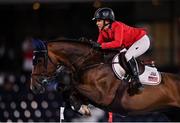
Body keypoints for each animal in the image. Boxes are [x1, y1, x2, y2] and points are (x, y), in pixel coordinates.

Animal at [30, 37, 180, 116]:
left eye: (38, 61)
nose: (33, 87)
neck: (91, 63)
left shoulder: (103, 96)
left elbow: (70, 85)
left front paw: (80, 106)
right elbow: (69, 90)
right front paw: (80, 106)